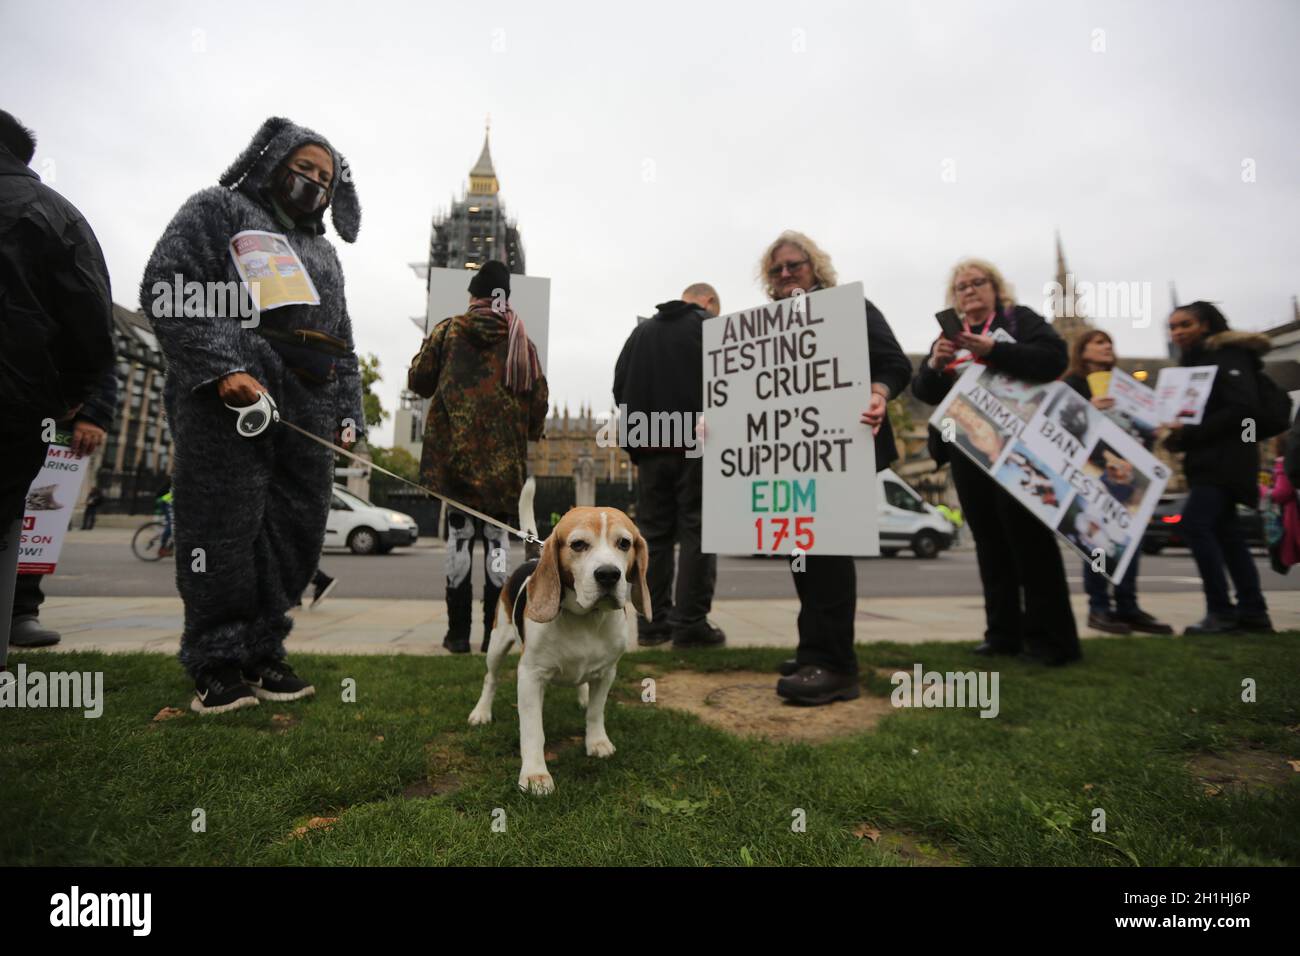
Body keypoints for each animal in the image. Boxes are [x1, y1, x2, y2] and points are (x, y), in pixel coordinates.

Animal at [467, 478, 650, 801]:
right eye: (578, 545)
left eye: (624, 543)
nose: (608, 575)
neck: (586, 618)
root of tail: (532, 558)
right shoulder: (530, 676)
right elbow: (532, 730)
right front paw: (535, 775)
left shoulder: (608, 672)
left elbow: (596, 711)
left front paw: (597, 741)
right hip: (497, 643)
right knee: (491, 678)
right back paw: (481, 712)